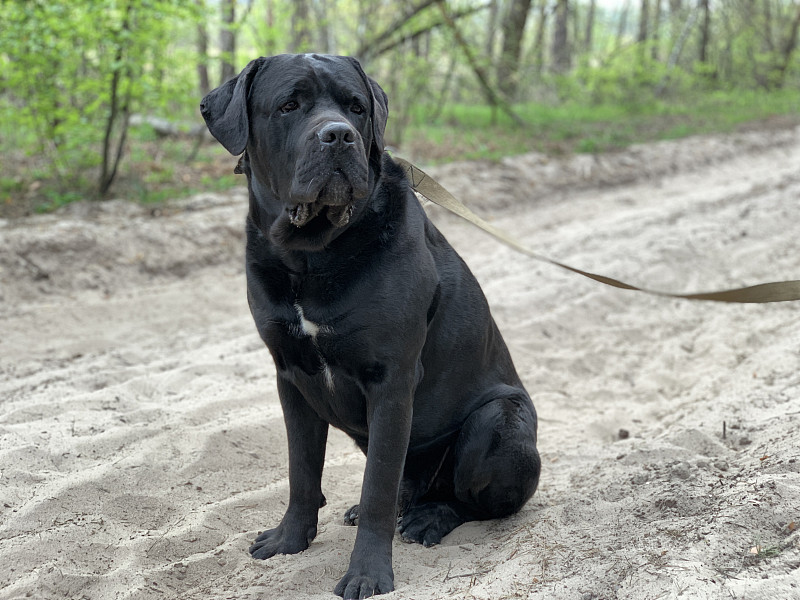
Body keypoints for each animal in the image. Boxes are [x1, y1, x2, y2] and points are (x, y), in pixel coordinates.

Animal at [200, 54, 540, 596]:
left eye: (356, 107)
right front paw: (289, 539)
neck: (311, 254)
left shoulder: (392, 379)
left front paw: (368, 574)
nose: (338, 135)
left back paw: (428, 518)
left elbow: (379, 481)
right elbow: (302, 470)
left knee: (470, 500)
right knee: (405, 483)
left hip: (498, 421)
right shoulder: (290, 375)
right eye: (289, 105)